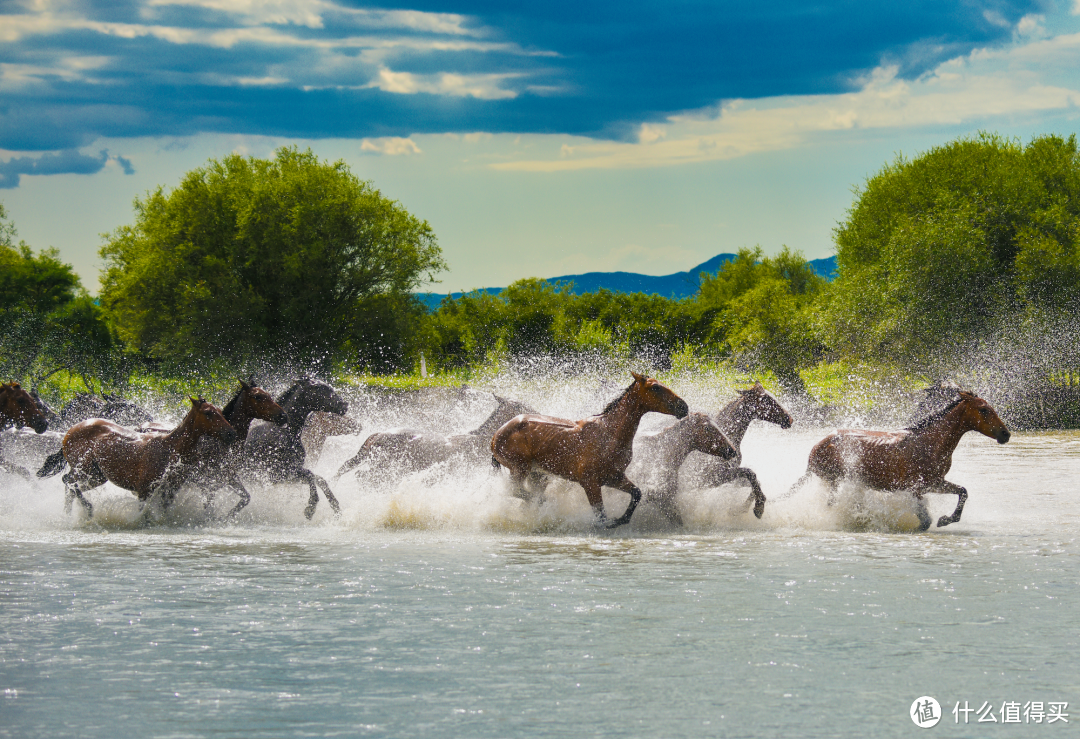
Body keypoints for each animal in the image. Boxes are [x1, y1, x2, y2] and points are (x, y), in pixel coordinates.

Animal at [46, 397, 236, 518]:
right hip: (83, 469)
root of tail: (71, 430)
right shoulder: (144, 491)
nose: (230, 433)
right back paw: (88, 509)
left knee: (71, 488)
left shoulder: (170, 491)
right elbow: (143, 516)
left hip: (97, 476)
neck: (169, 449)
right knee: (68, 481)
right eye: (208, 413)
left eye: (220, 411)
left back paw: (68, 516)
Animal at [492, 371, 686, 527]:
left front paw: (620, 520)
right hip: (519, 468)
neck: (609, 433)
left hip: (536, 473)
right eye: (655, 387)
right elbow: (600, 516)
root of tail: (496, 436)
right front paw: (610, 523)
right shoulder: (589, 483)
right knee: (516, 491)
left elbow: (636, 493)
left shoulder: (613, 477)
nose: (683, 406)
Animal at [790, 386, 1006, 531]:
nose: (1006, 434)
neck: (930, 443)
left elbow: (963, 492)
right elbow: (925, 521)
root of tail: (816, 448)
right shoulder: (916, 487)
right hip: (834, 480)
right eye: (984, 409)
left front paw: (945, 519)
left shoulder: (934, 482)